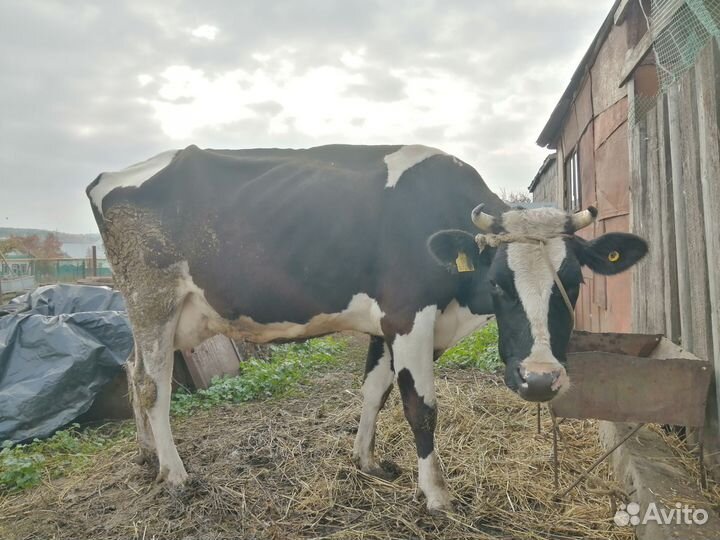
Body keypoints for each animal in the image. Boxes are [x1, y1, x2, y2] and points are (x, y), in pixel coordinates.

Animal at [87, 144, 647, 512]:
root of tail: (108, 176)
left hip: (159, 314)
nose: (539, 379)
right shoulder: (408, 314)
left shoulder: (390, 324)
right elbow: (420, 406)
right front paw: (437, 494)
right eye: (498, 283)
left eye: (573, 282)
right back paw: (176, 475)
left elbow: (374, 391)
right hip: (152, 299)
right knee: (152, 385)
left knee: (133, 370)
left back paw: (147, 455)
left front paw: (367, 461)